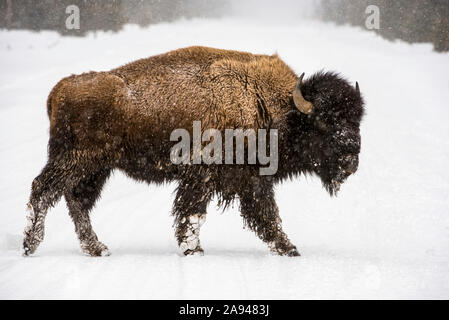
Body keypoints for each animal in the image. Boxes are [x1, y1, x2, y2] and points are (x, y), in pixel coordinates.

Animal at [22, 46, 364, 256]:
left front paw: (289, 250)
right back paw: (31, 245)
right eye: (323, 122)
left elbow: (266, 217)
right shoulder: (203, 175)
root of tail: (60, 89)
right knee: (44, 190)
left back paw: (97, 249)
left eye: (357, 119)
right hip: (75, 160)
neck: (270, 105)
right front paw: (194, 250)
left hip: (97, 168)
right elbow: (194, 213)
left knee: (76, 201)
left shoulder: (251, 181)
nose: (351, 160)